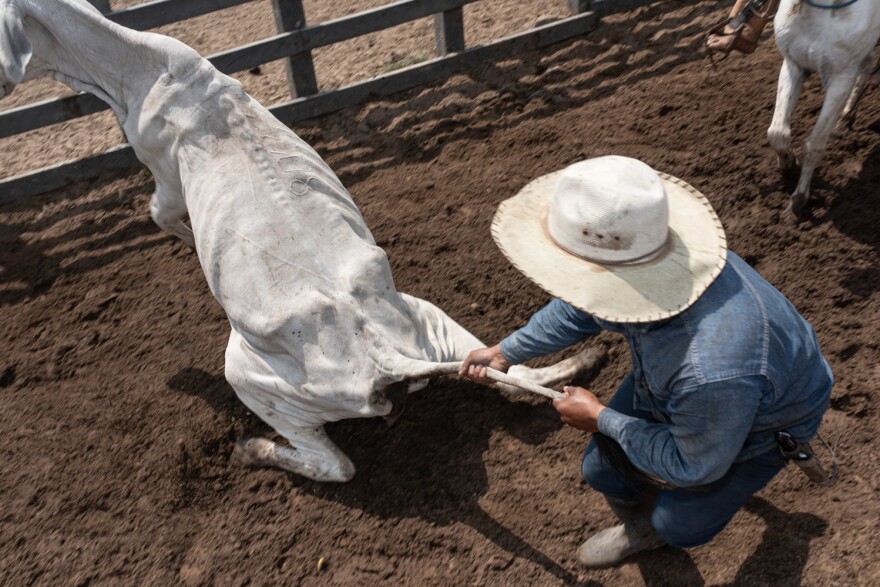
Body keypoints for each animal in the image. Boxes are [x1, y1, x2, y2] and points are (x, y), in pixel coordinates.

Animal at [0, 0, 600, 482]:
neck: (145, 71)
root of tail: (385, 362)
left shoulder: (163, 176)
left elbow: (161, 216)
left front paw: (188, 242)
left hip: (255, 383)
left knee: (334, 466)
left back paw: (251, 449)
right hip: (433, 321)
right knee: (512, 375)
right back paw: (580, 361)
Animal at [768, 0, 880, 220]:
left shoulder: (841, 78)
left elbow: (815, 145)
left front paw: (799, 200)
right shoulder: (794, 63)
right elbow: (778, 133)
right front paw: (789, 168)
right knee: (867, 65)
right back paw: (846, 118)